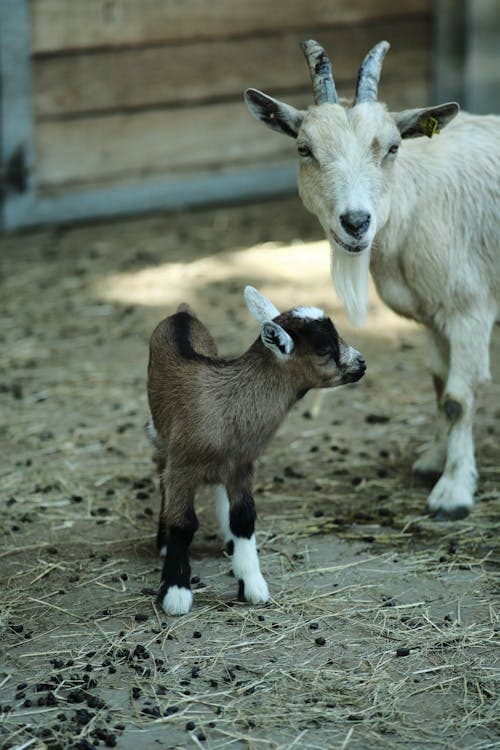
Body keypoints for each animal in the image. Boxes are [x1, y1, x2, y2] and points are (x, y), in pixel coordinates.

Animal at [147, 286, 366, 614]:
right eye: (323, 348)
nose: (361, 363)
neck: (228, 404)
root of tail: (182, 313)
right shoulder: (183, 464)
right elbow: (183, 524)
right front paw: (176, 593)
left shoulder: (241, 465)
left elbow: (244, 518)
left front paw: (252, 585)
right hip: (160, 434)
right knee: (161, 473)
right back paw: (163, 542)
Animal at [245, 40, 500, 519]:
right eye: (304, 149)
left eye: (393, 147)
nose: (356, 222)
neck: (413, 200)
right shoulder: (434, 312)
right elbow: (439, 383)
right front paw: (432, 461)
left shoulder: (468, 308)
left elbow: (459, 395)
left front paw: (453, 491)